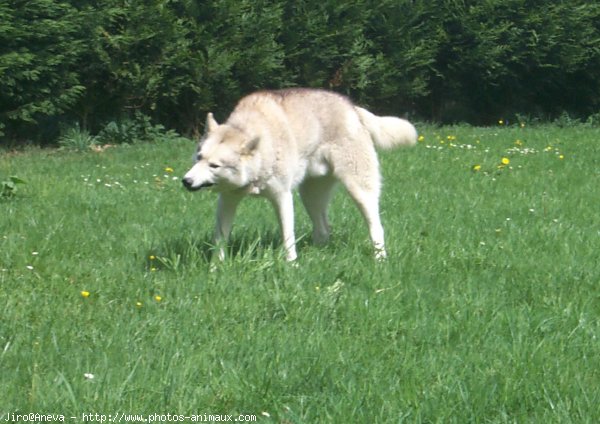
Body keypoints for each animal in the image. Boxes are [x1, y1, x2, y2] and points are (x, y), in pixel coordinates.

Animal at [183, 88, 418, 260]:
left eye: (214, 165)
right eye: (199, 157)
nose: (186, 181)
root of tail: (351, 107)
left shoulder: (282, 197)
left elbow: (288, 237)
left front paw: (292, 266)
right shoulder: (227, 200)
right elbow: (220, 240)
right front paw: (216, 269)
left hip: (359, 191)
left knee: (376, 227)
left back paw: (380, 259)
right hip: (310, 196)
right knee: (324, 228)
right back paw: (318, 254)